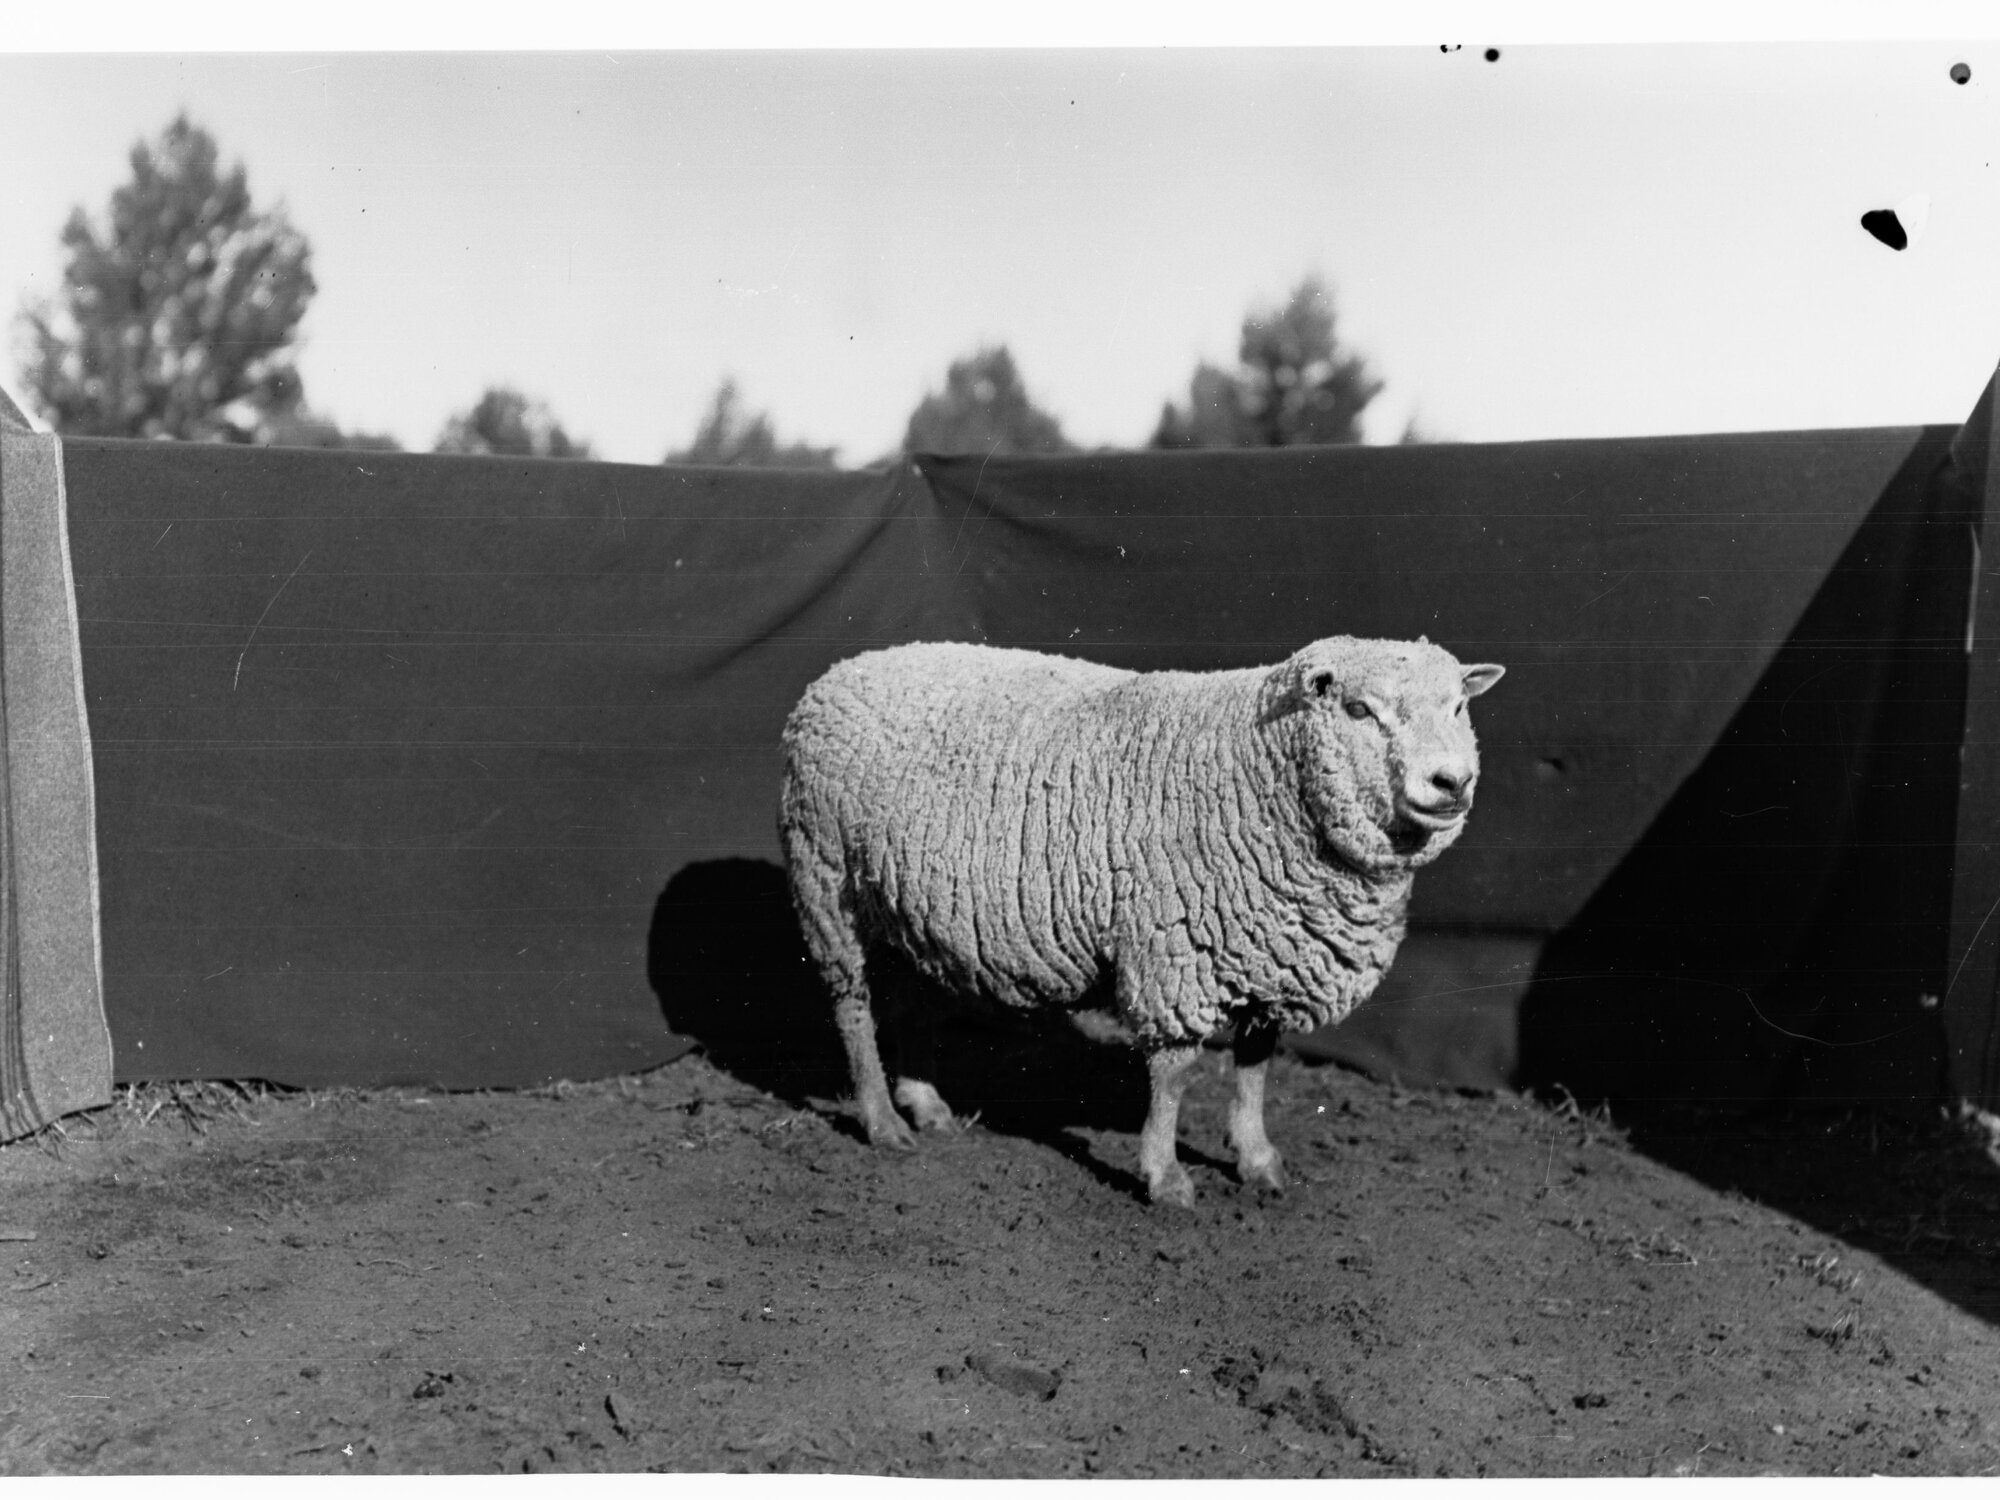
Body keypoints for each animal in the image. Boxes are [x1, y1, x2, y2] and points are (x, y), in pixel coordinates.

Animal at [778, 636, 1504, 1207]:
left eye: (1459, 707)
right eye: (1359, 709)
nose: (1452, 781)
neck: (1262, 768)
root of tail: (844, 669)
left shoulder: (1269, 952)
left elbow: (1255, 1064)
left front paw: (1257, 1159)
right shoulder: (1175, 951)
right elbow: (1175, 1073)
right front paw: (1165, 1176)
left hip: (911, 909)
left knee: (910, 999)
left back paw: (925, 1103)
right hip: (828, 882)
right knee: (852, 1007)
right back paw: (881, 1120)